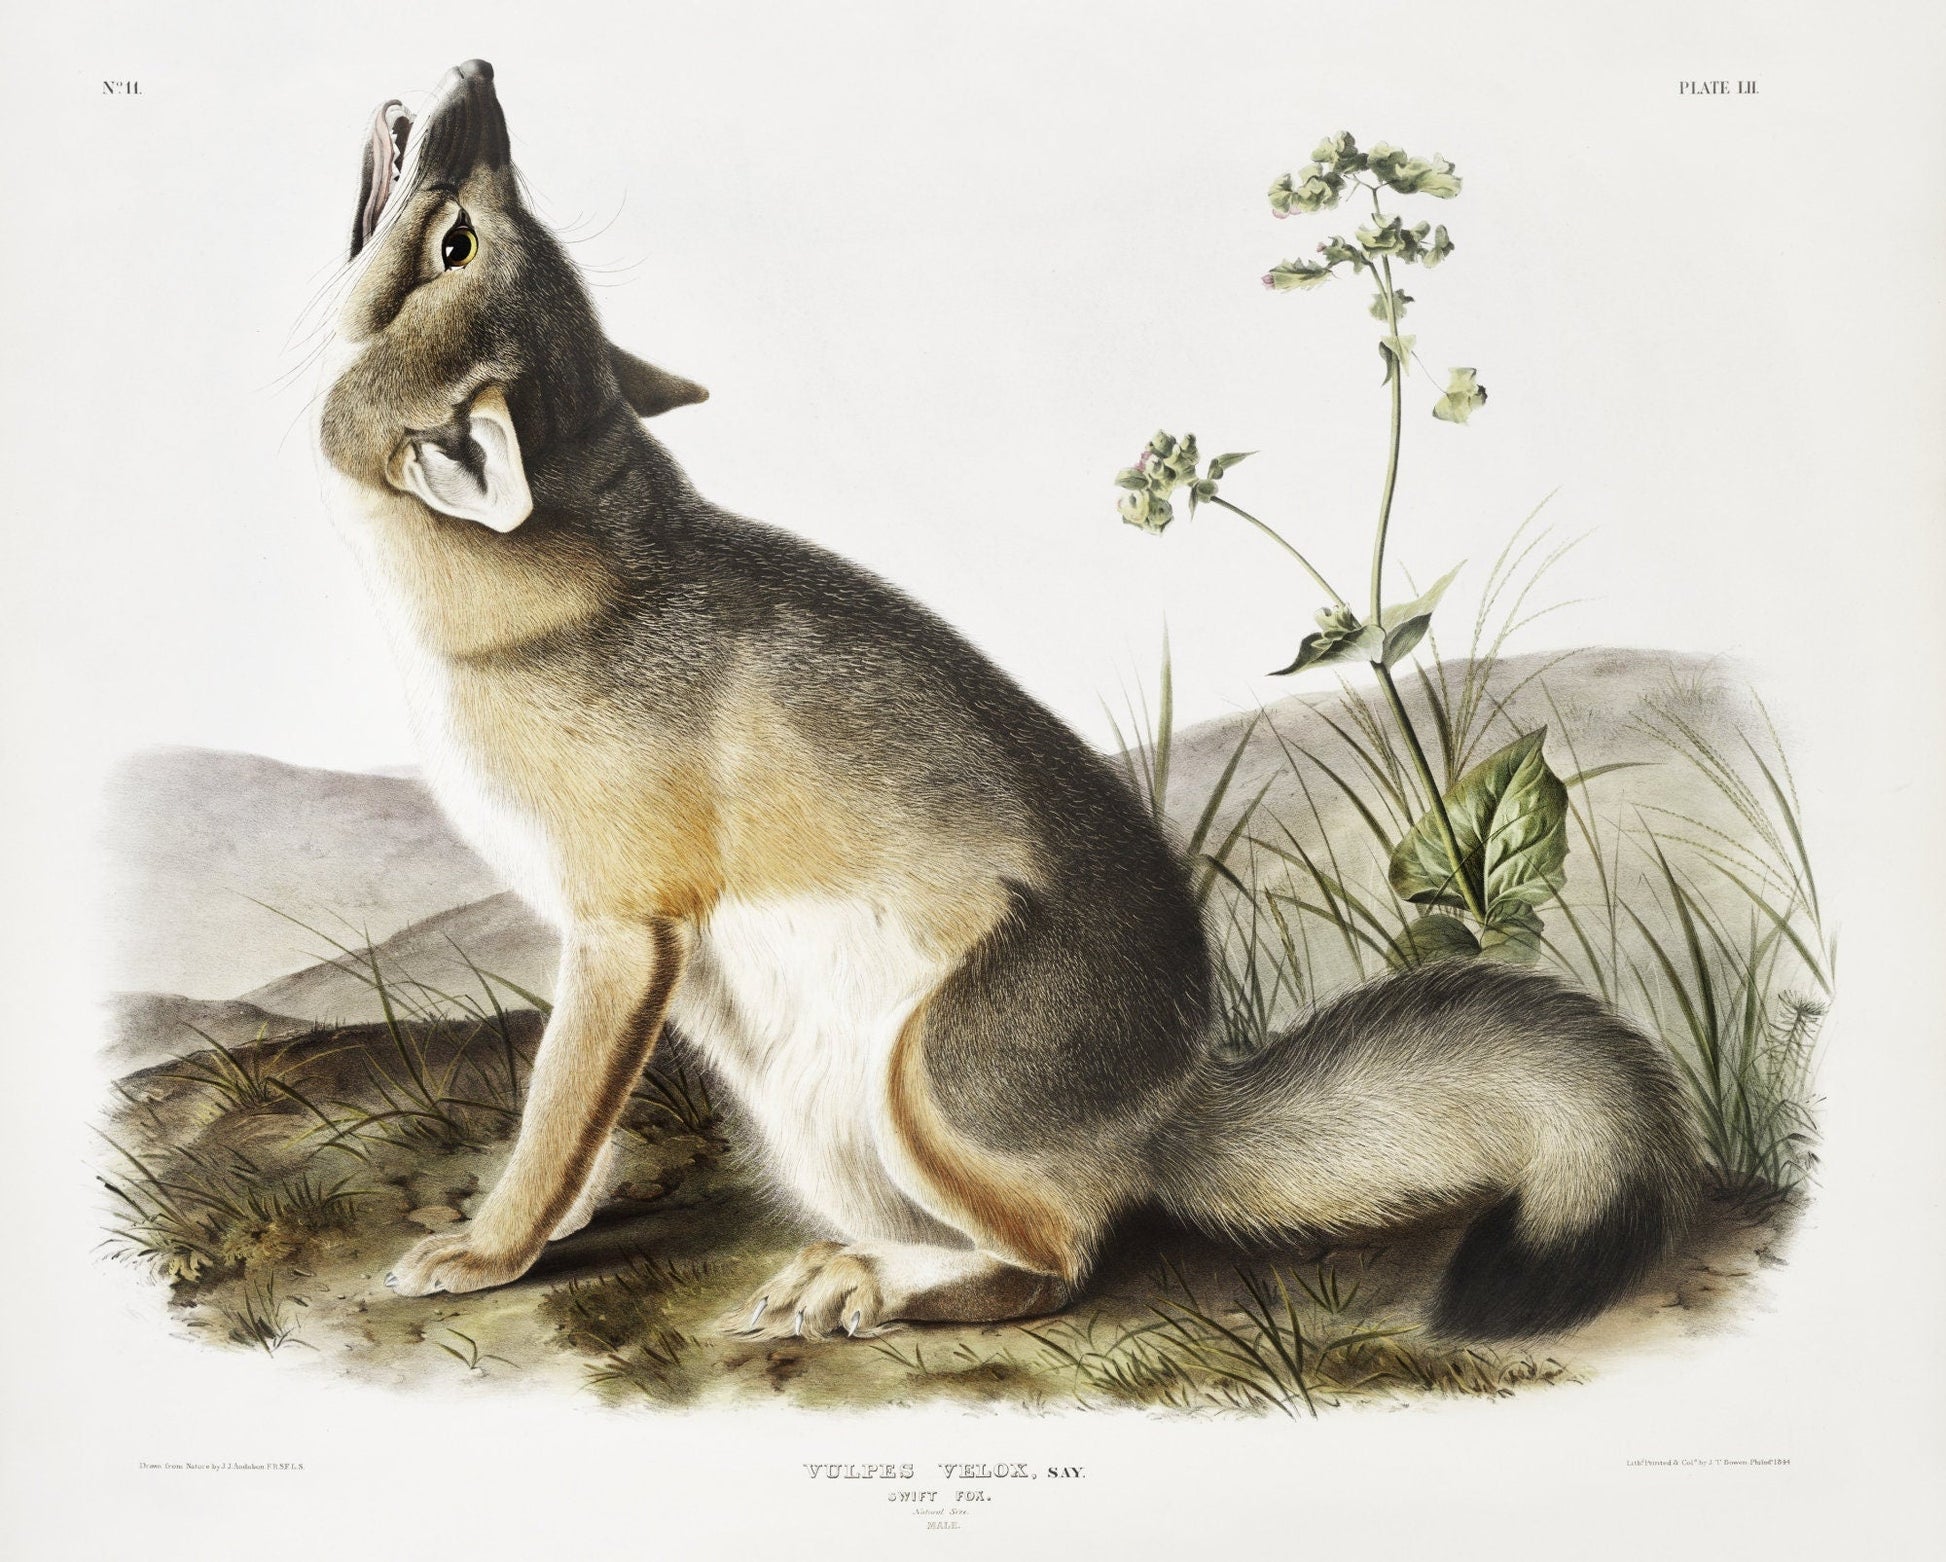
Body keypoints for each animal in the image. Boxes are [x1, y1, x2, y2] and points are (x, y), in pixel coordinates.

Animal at [316, 59, 1701, 1341]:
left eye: (463, 237)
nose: (483, 74)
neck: (568, 575)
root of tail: (1170, 1106)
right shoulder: (619, 953)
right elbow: (581, 1129)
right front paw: (551, 1222)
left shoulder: (620, 933)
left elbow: (555, 1117)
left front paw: (489, 1249)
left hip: (920, 1082)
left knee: (1058, 1258)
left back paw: (864, 1281)